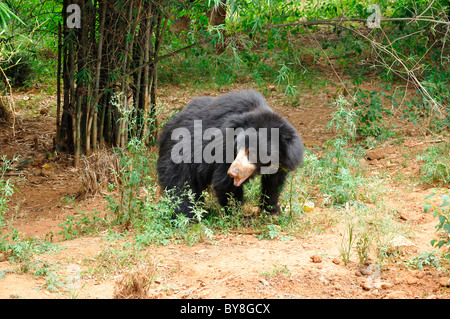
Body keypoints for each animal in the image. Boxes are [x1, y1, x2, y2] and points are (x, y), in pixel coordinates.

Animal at [156, 90, 304, 220]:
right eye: (237, 150)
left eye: (251, 153)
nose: (233, 172)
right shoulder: (222, 148)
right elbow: (224, 183)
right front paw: (239, 216)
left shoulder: (283, 159)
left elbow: (274, 183)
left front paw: (271, 210)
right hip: (179, 153)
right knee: (179, 184)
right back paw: (188, 216)